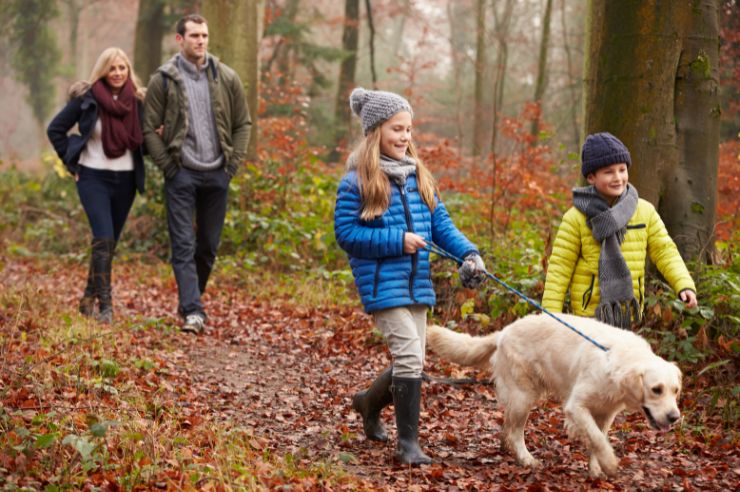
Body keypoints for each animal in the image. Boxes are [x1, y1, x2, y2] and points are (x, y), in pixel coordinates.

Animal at [428, 314, 684, 478]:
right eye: (656, 389)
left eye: (676, 390)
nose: (674, 417)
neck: (615, 361)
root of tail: (504, 332)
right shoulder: (576, 406)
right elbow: (597, 438)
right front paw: (610, 464)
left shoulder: (606, 414)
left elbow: (598, 439)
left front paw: (596, 469)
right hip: (524, 396)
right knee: (515, 432)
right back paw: (526, 458)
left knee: (507, 427)